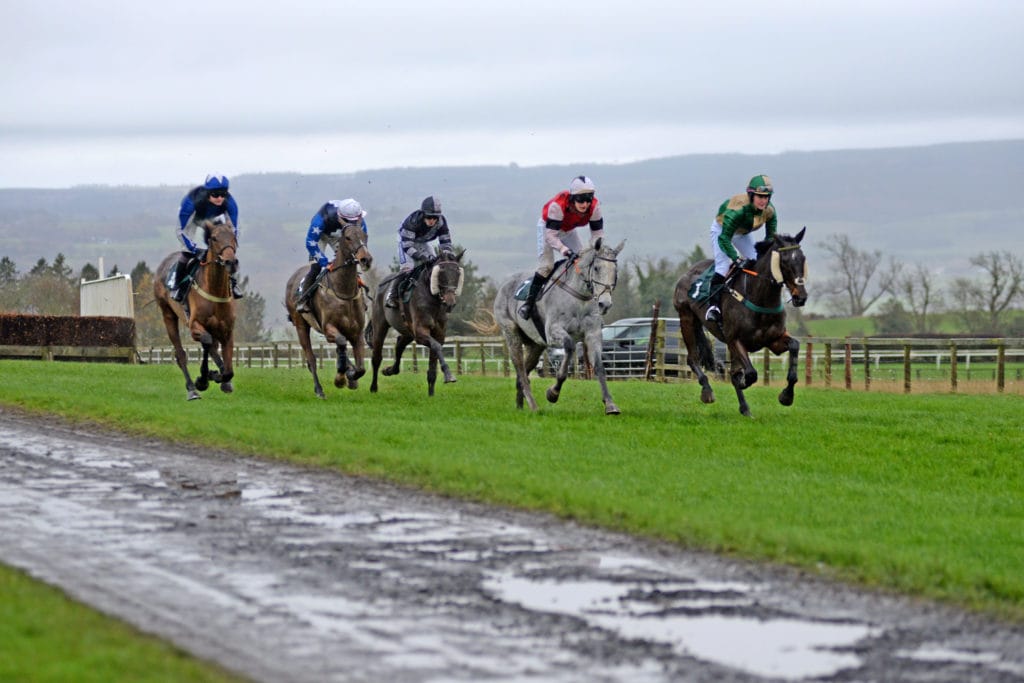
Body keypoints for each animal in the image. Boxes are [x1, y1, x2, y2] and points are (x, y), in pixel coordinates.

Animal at [153, 219, 239, 401]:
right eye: (214, 238)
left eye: (233, 236)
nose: (231, 262)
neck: (214, 290)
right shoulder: (194, 325)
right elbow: (206, 342)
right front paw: (203, 379)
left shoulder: (227, 330)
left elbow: (228, 371)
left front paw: (220, 377)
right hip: (168, 314)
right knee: (181, 354)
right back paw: (192, 389)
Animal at [284, 222, 373, 399]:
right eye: (348, 237)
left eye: (365, 236)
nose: (365, 259)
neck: (344, 292)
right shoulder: (328, 328)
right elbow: (341, 343)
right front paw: (340, 379)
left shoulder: (357, 332)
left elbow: (361, 368)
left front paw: (351, 376)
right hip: (301, 325)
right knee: (311, 359)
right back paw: (319, 390)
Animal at [367, 250, 465, 396]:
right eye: (441, 272)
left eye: (457, 273)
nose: (450, 302)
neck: (432, 299)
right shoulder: (420, 332)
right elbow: (436, 346)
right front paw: (449, 375)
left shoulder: (438, 333)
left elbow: (433, 364)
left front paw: (431, 394)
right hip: (380, 325)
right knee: (376, 357)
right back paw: (373, 387)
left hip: (408, 331)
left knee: (399, 345)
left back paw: (390, 370)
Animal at [493, 238, 625, 415]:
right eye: (597, 268)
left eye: (615, 271)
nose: (605, 304)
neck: (579, 299)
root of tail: (505, 284)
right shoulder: (553, 332)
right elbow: (568, 348)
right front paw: (553, 393)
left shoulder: (593, 334)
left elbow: (599, 366)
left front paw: (610, 404)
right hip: (511, 334)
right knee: (520, 369)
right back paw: (533, 405)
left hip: (535, 345)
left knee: (525, 372)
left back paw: (520, 405)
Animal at [672, 228, 808, 417]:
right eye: (785, 261)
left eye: (803, 258)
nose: (801, 297)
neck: (760, 297)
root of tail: (687, 273)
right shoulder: (735, 340)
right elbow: (750, 373)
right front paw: (744, 381)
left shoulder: (773, 340)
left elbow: (794, 346)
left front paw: (786, 396)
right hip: (687, 319)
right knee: (693, 359)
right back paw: (707, 391)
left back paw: (745, 408)